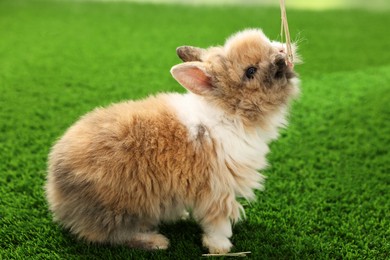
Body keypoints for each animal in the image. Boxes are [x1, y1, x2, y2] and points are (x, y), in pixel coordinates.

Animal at [46, 29, 302, 254]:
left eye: (271, 43)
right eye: (250, 71)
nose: (282, 55)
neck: (232, 112)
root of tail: (55, 190)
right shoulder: (217, 190)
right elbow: (217, 223)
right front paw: (221, 247)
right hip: (122, 209)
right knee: (110, 235)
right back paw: (156, 241)